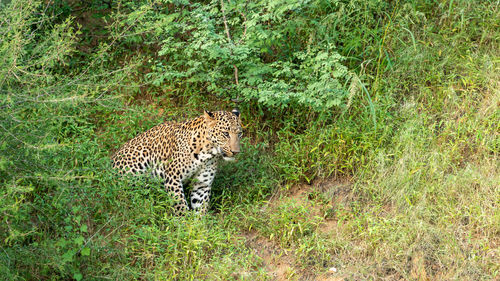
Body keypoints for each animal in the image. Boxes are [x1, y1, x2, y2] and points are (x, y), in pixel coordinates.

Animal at [111, 108, 242, 213]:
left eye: (240, 134)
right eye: (225, 133)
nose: (236, 152)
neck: (208, 154)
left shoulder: (202, 184)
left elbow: (201, 207)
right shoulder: (173, 177)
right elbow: (180, 204)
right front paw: (184, 224)